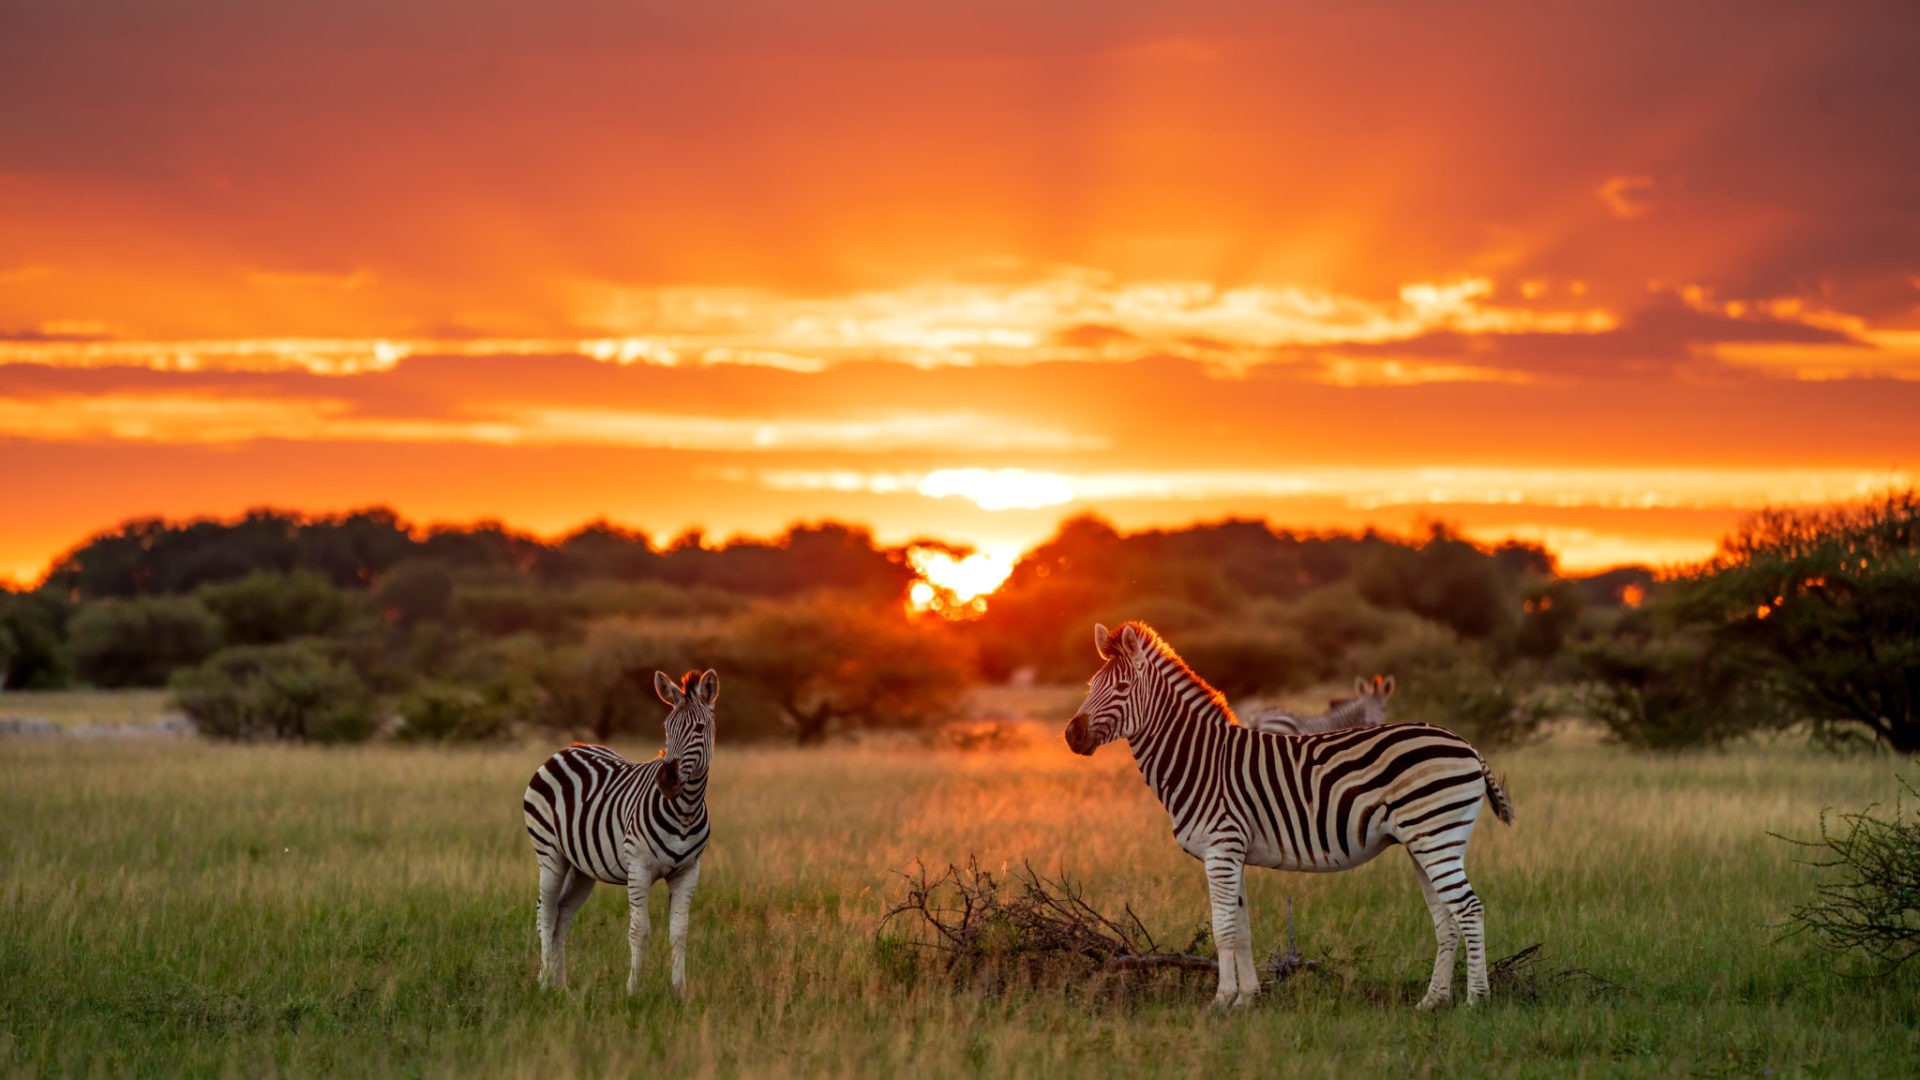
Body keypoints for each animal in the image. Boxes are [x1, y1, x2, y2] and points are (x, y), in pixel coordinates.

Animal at [522, 669, 717, 997]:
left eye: (700, 728)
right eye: (666, 727)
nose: (667, 781)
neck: (685, 810)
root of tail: (567, 748)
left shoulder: (689, 871)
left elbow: (679, 932)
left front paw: (679, 991)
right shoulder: (638, 867)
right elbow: (639, 931)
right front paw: (633, 991)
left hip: (581, 867)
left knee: (562, 915)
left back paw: (562, 987)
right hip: (550, 854)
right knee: (545, 913)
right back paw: (545, 982)